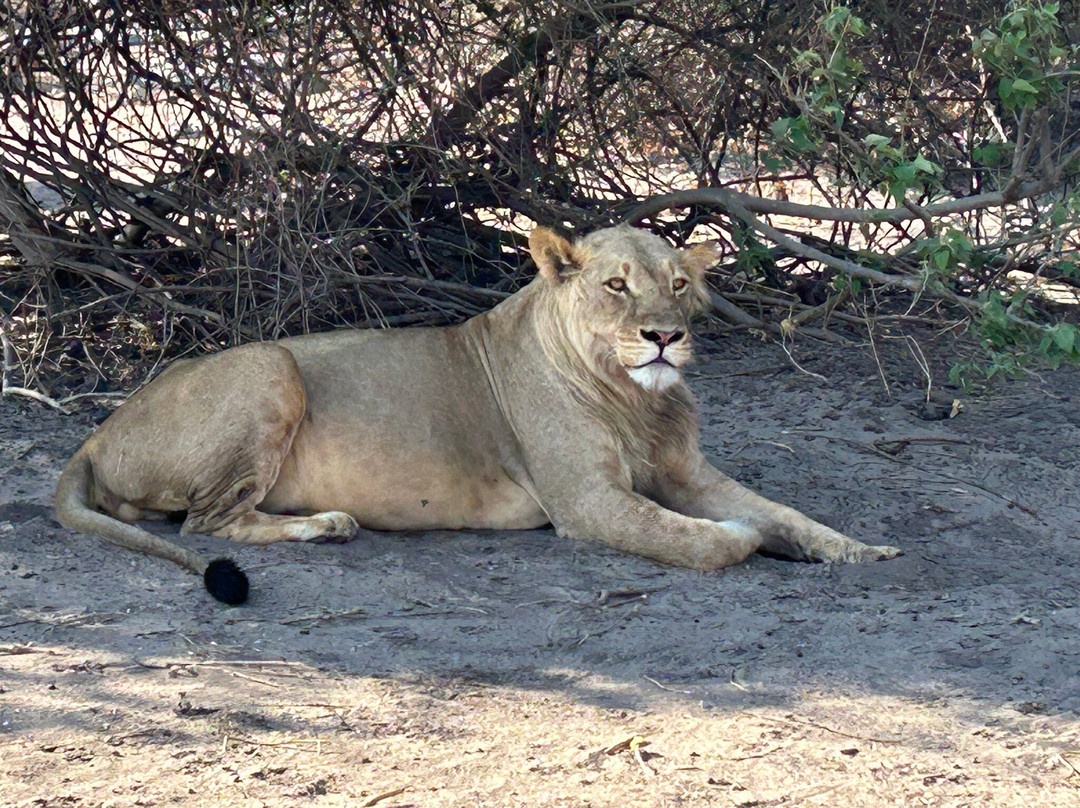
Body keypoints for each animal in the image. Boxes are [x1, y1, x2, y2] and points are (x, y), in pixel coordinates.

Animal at [56, 223, 902, 604]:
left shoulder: (687, 473)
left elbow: (785, 511)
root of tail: (96, 433)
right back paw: (327, 524)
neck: (636, 399)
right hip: (270, 366)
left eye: (679, 285)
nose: (667, 336)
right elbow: (703, 539)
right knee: (207, 524)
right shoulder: (586, 500)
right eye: (617, 286)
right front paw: (744, 539)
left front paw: (862, 551)